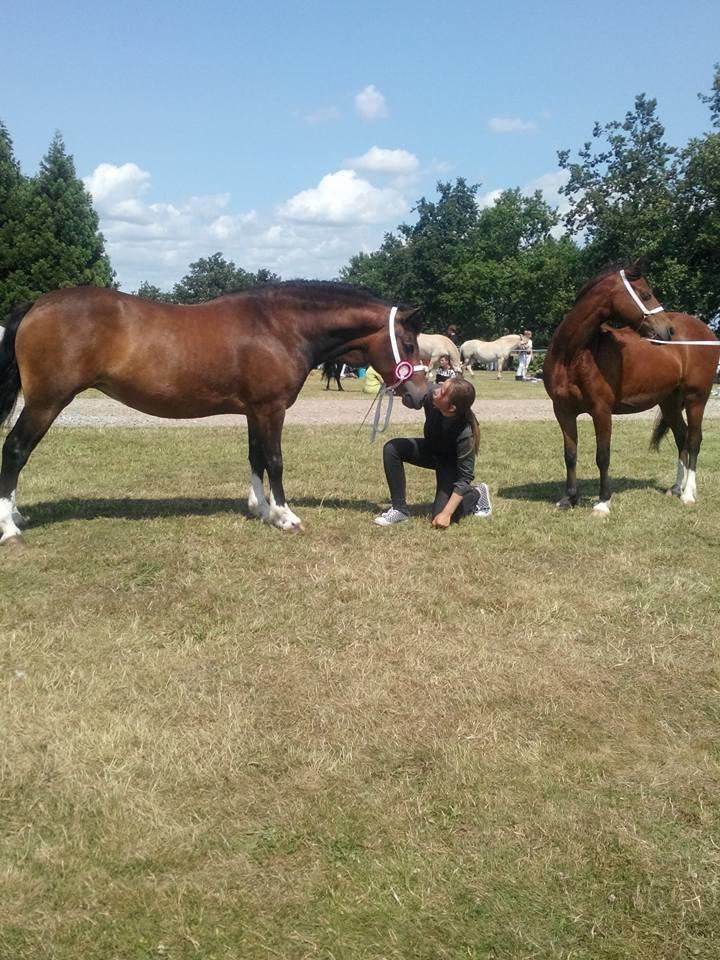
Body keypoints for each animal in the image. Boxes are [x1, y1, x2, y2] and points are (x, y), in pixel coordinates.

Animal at [0, 282, 428, 544]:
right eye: (408, 344)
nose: (421, 395)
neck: (280, 327)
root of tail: (37, 304)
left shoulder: (255, 411)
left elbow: (256, 458)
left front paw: (260, 509)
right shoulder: (271, 409)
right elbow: (275, 460)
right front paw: (285, 516)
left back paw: (17, 518)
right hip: (46, 402)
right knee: (15, 450)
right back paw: (10, 527)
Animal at [544, 262, 716, 512]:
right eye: (646, 295)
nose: (668, 331)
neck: (572, 355)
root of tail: (707, 332)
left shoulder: (601, 410)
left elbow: (602, 456)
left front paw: (603, 502)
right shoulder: (563, 411)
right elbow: (570, 454)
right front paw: (569, 499)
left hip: (697, 398)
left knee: (694, 441)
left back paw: (688, 494)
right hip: (670, 403)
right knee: (681, 437)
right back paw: (676, 488)